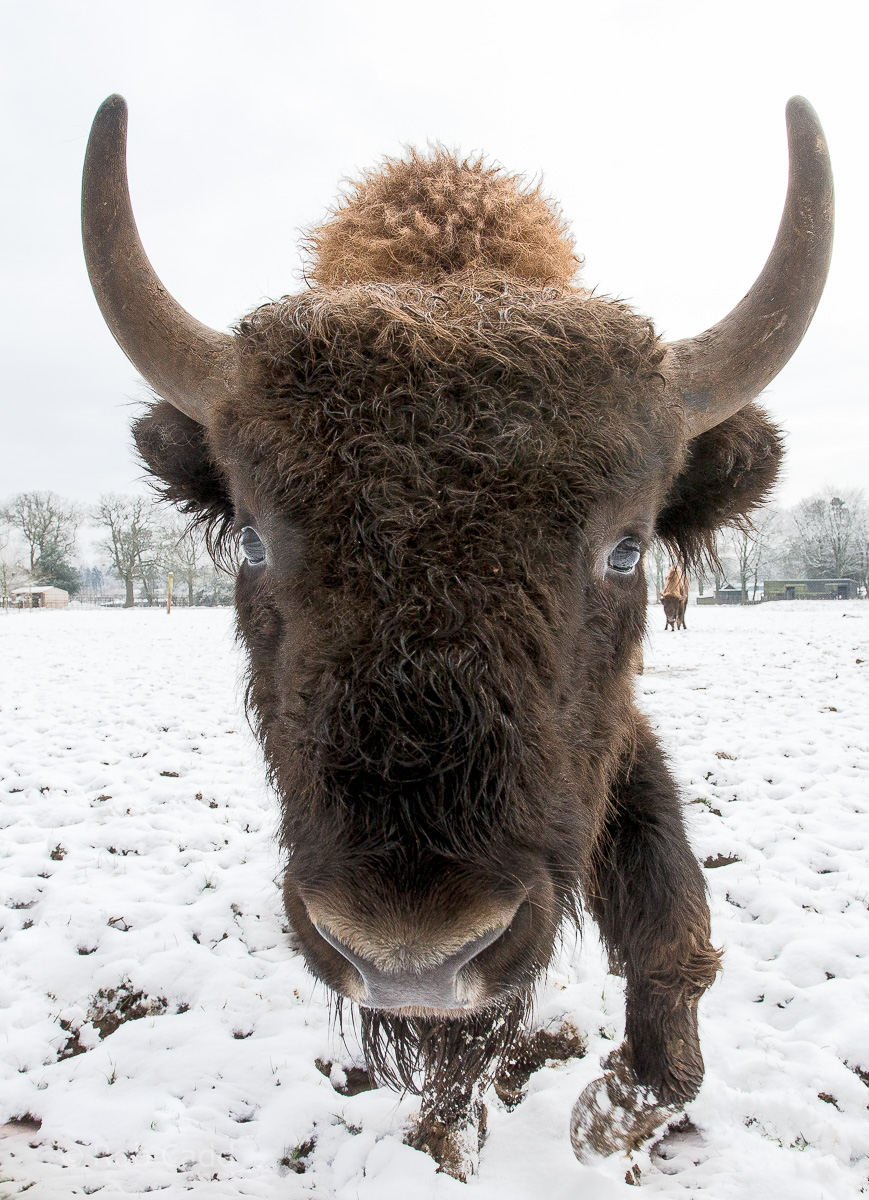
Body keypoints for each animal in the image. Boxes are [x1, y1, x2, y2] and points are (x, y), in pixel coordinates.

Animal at [81, 95, 833, 1174]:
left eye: (624, 547)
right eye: (256, 539)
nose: (409, 957)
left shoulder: (608, 736)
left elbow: (668, 915)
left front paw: (608, 1115)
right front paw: (455, 1130)